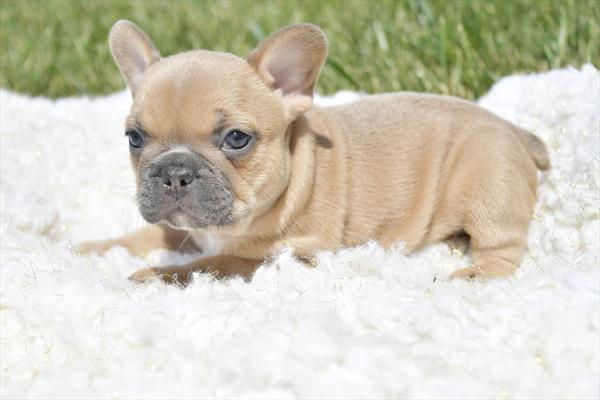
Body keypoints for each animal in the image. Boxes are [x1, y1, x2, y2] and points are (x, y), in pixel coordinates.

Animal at [77, 20, 552, 282]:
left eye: (236, 138)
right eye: (135, 138)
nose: (174, 170)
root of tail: (511, 128)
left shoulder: (288, 254)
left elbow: (211, 265)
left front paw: (153, 275)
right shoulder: (188, 227)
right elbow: (153, 234)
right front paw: (94, 248)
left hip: (489, 190)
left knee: (502, 248)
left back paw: (472, 275)